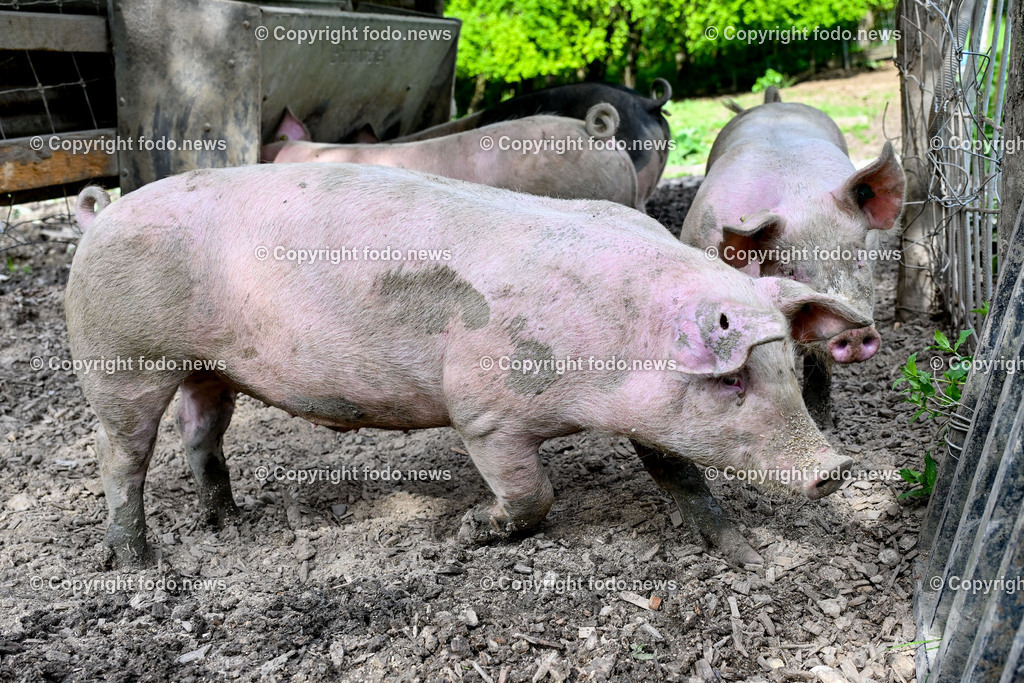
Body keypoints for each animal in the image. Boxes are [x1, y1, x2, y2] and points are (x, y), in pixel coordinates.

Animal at [68, 165, 868, 568]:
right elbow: (533, 495)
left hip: (208, 369)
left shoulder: (650, 419)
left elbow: (684, 479)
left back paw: (229, 524)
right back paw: (141, 564)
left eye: (785, 373)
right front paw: (460, 535)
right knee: (122, 458)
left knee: (200, 435)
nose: (834, 468)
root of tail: (98, 215)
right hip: (121, 360)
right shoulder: (485, 411)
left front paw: (749, 555)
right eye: (732, 380)